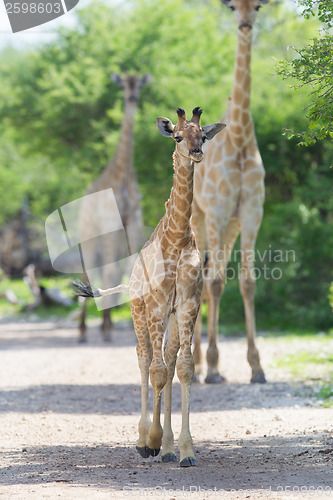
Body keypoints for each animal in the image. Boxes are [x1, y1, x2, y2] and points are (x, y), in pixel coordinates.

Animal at [75, 107, 224, 466]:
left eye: (203, 136)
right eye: (178, 137)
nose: (196, 153)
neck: (178, 239)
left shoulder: (188, 303)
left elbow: (183, 368)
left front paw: (184, 450)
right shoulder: (156, 304)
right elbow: (155, 369)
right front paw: (151, 441)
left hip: (170, 317)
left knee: (167, 363)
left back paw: (167, 448)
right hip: (138, 311)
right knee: (144, 358)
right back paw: (145, 439)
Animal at [77, 72, 150, 342]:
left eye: (139, 85)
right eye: (123, 85)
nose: (132, 98)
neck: (123, 176)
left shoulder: (134, 223)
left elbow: (128, 268)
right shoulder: (111, 223)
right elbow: (108, 272)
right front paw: (107, 327)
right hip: (89, 236)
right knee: (89, 269)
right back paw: (83, 330)